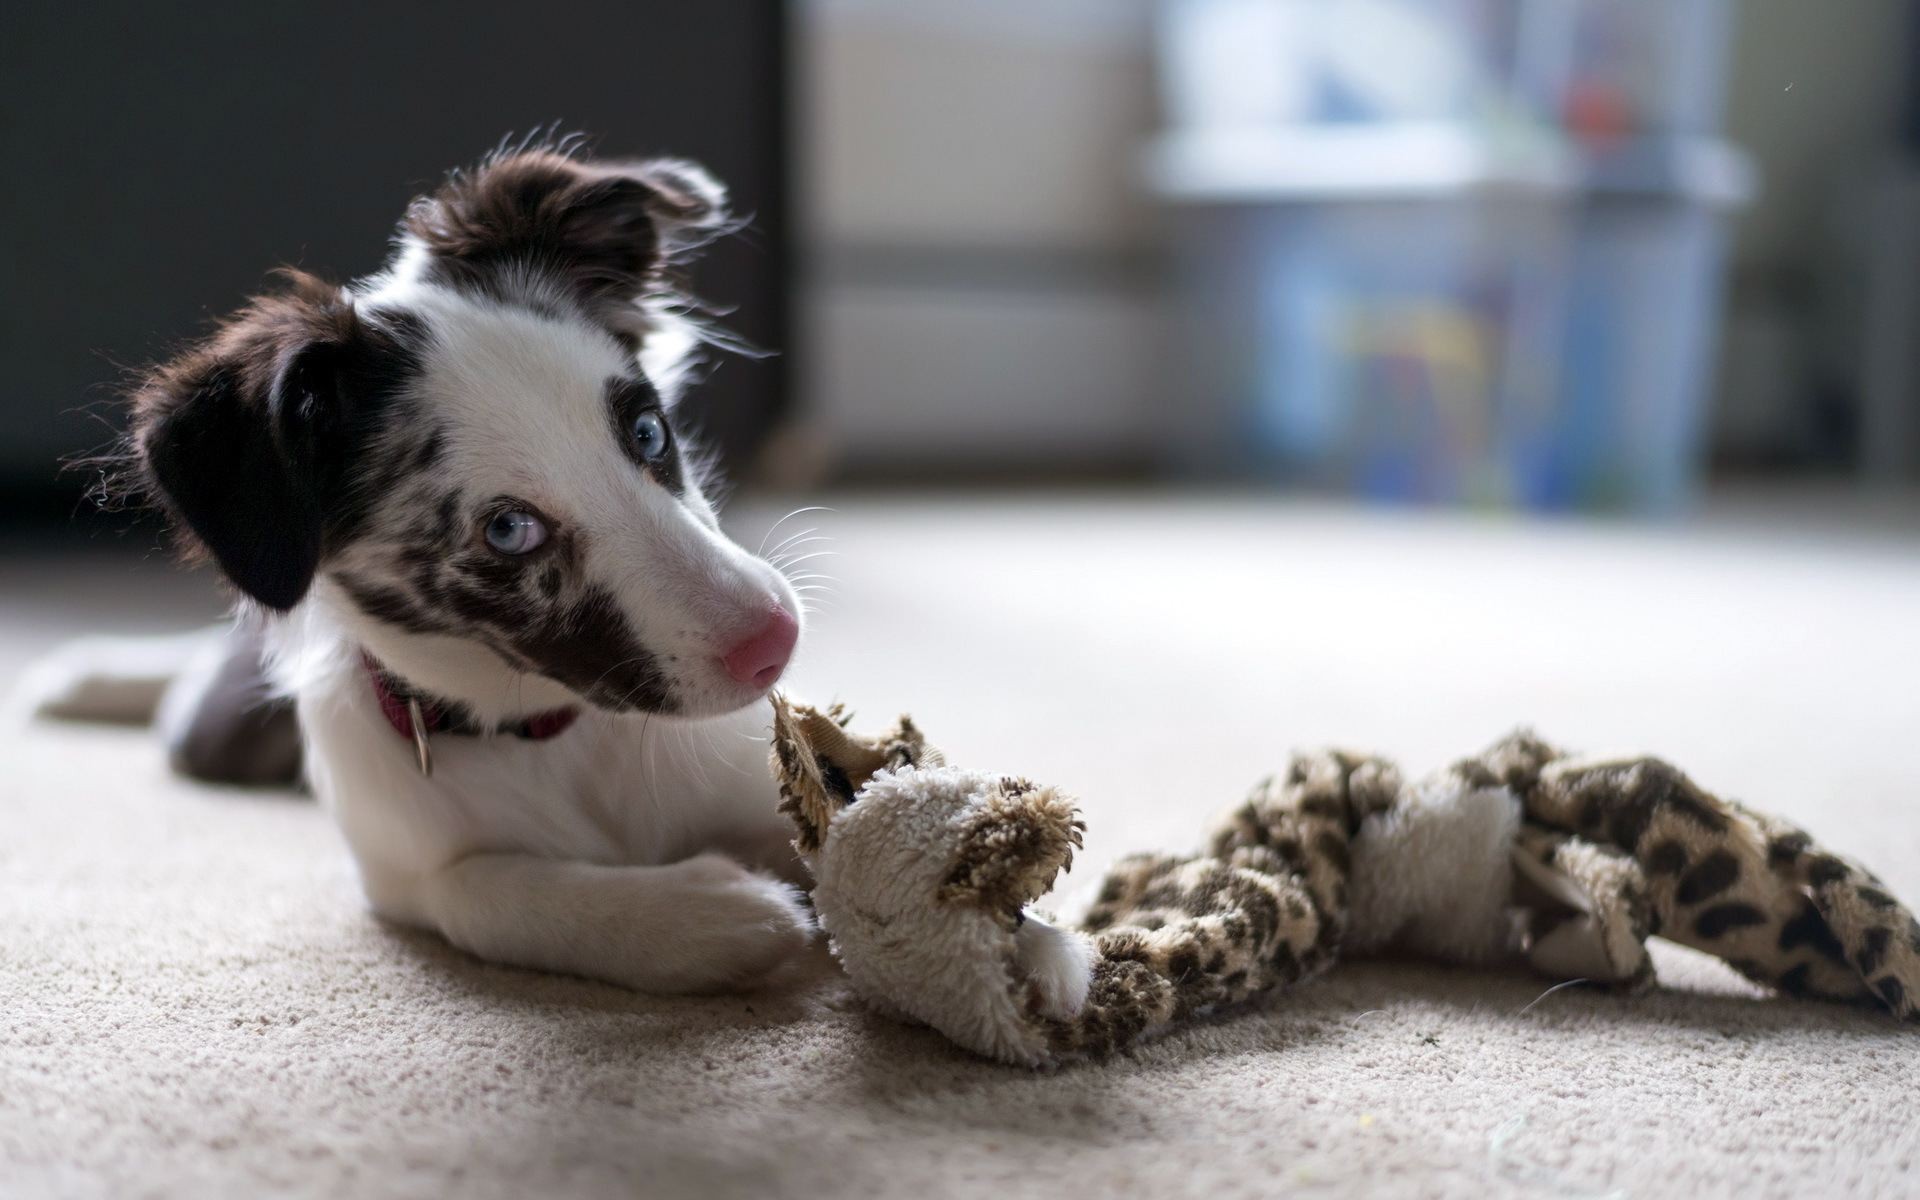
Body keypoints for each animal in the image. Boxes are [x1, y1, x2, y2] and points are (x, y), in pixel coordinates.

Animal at [110, 147, 817, 990]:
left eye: (649, 432)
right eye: (509, 530)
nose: (776, 643)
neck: (548, 738)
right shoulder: (405, 872)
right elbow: (490, 894)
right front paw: (720, 916)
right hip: (213, 733)